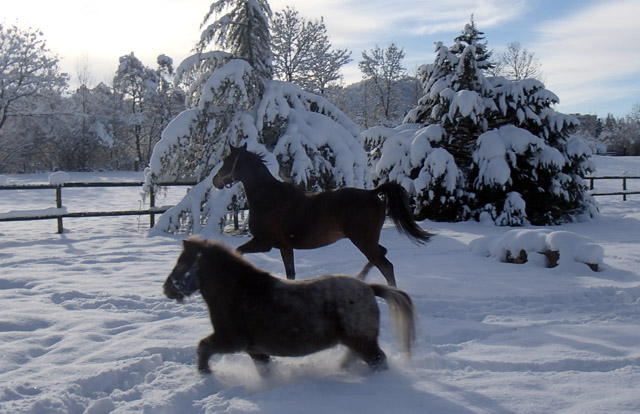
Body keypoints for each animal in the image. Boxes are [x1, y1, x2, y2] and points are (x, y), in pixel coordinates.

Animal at [162, 236, 418, 376]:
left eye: (181, 263)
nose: (166, 288)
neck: (239, 292)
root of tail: (369, 288)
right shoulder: (256, 350)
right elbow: (266, 370)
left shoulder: (230, 340)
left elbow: (203, 347)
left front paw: (205, 373)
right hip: (356, 341)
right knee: (354, 357)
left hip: (363, 342)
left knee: (378, 360)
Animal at [212, 144, 432, 286]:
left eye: (226, 161)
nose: (215, 180)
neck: (268, 197)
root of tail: (372, 193)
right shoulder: (285, 247)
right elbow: (290, 274)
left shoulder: (264, 243)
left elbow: (239, 251)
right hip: (368, 241)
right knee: (382, 255)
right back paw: (359, 279)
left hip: (363, 241)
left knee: (386, 266)